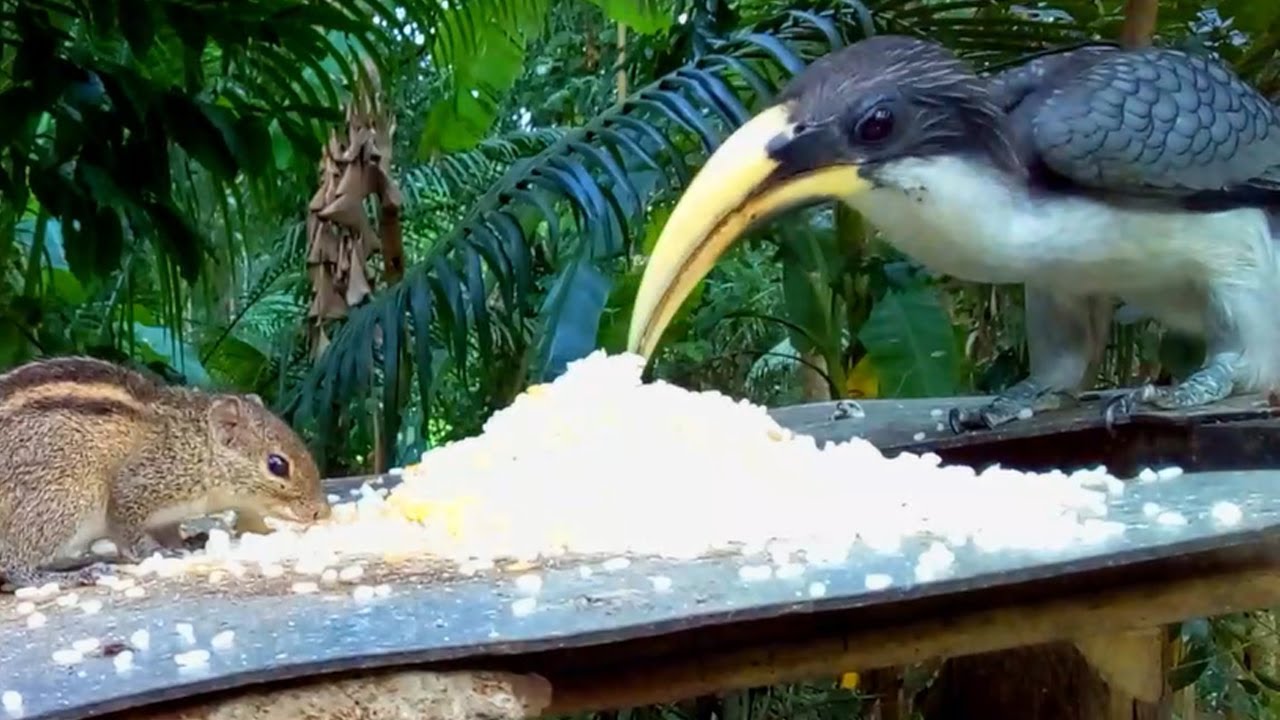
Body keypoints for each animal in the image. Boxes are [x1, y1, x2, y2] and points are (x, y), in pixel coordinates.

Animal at [0, 356, 332, 591]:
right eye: (277, 465)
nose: (322, 512)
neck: (195, 445)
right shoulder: (135, 487)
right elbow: (128, 533)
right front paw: (155, 552)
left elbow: (168, 531)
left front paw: (185, 542)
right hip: (63, 501)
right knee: (15, 565)